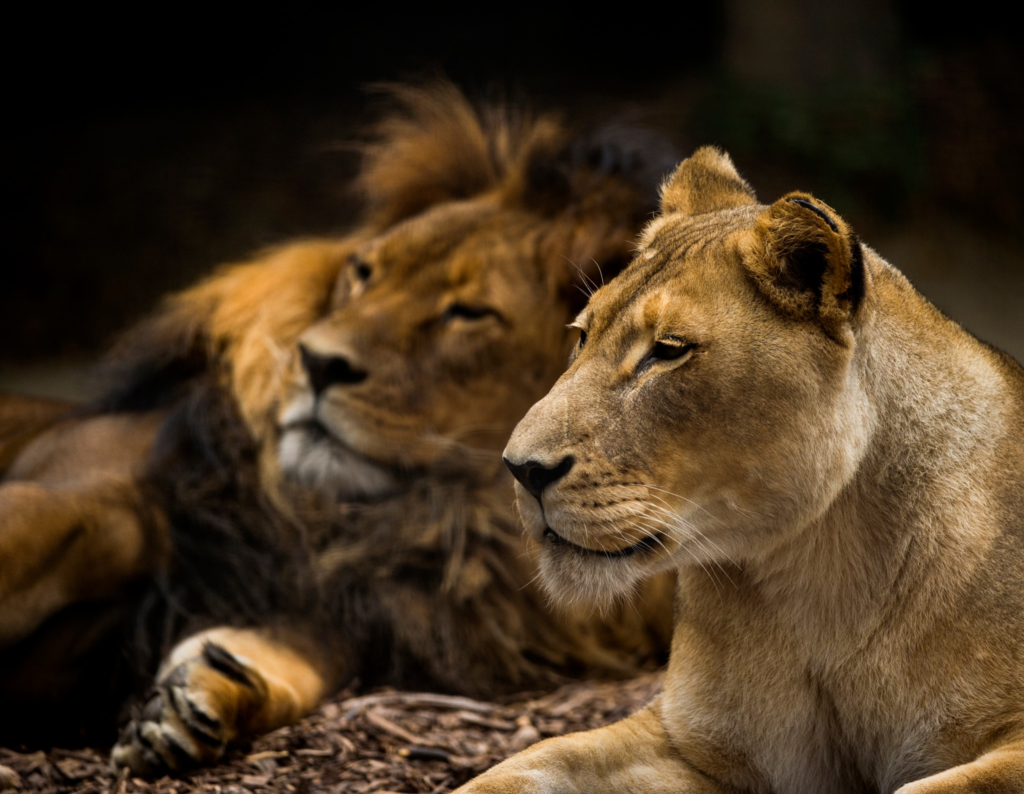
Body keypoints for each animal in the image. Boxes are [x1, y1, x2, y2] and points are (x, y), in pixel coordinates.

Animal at [0, 87, 675, 774]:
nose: (316, 361)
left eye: (468, 313)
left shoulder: (353, 609)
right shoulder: (110, 494)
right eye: (365, 272)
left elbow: (292, 662)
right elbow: (47, 530)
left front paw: (202, 696)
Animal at [456, 144, 1024, 794]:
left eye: (667, 351)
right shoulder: (691, 743)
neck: (819, 584)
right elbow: (524, 764)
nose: (519, 469)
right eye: (582, 336)